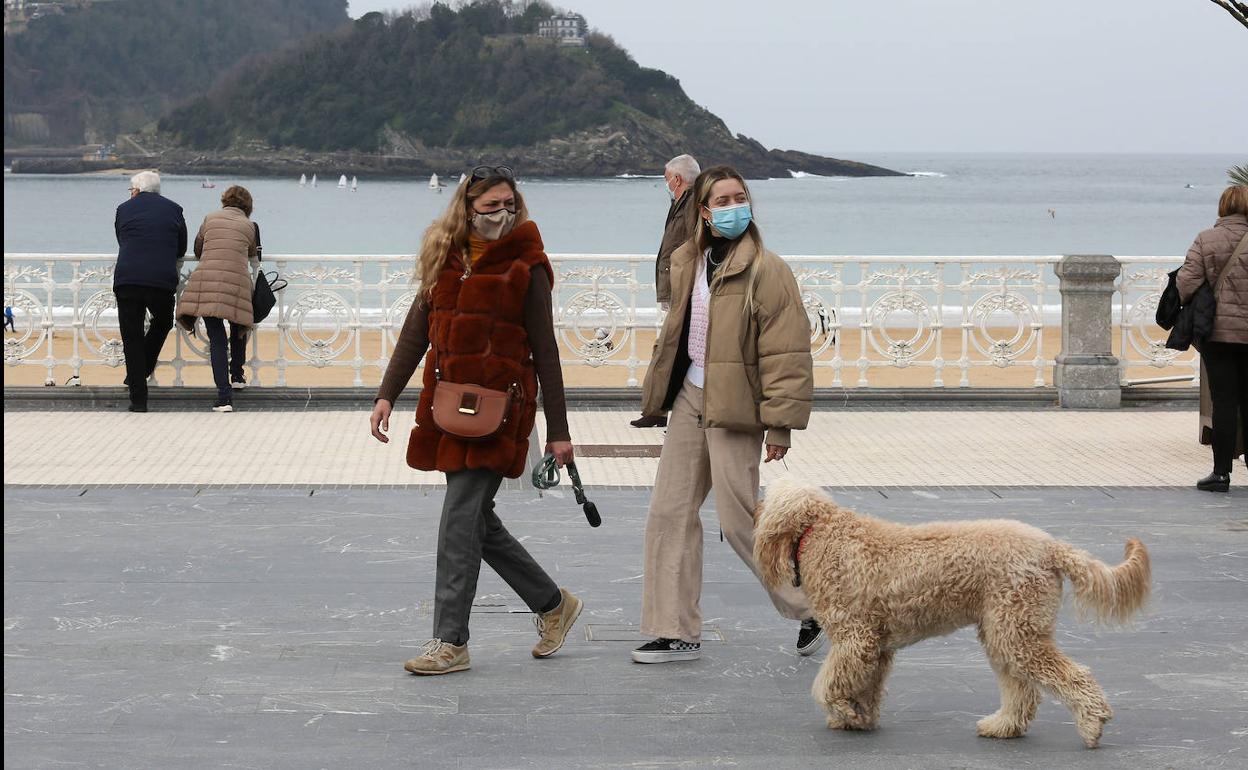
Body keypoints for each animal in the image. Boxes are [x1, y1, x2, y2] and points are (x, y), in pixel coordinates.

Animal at [748, 476, 1148, 748]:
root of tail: (1051, 546)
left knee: (1072, 676)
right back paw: (1003, 726)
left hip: (1017, 630)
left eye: (768, 497)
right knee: (1022, 690)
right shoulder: (875, 647)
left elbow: (826, 685)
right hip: (1006, 631)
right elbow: (866, 687)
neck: (823, 531)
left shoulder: (854, 639)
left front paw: (843, 711)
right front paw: (858, 718)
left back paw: (1092, 724)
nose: (752, 509)